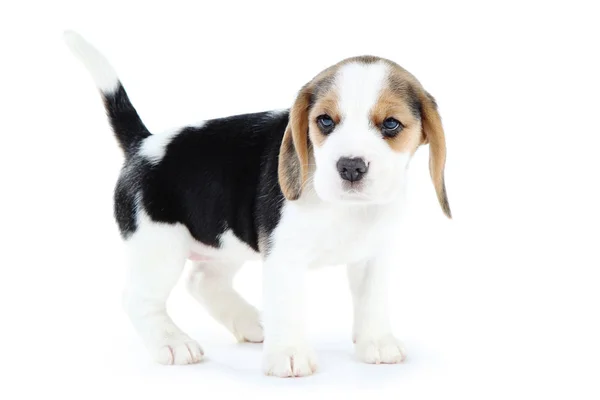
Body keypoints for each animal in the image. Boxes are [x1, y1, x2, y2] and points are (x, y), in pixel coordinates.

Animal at [64, 31, 450, 378]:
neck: (343, 208)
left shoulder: (373, 254)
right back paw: (172, 343)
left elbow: (372, 299)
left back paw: (251, 322)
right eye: (325, 121)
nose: (350, 166)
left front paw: (376, 342)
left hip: (224, 240)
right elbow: (288, 304)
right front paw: (289, 355)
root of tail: (144, 144)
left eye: (391, 124)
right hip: (159, 248)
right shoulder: (282, 256)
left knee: (202, 281)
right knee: (138, 298)